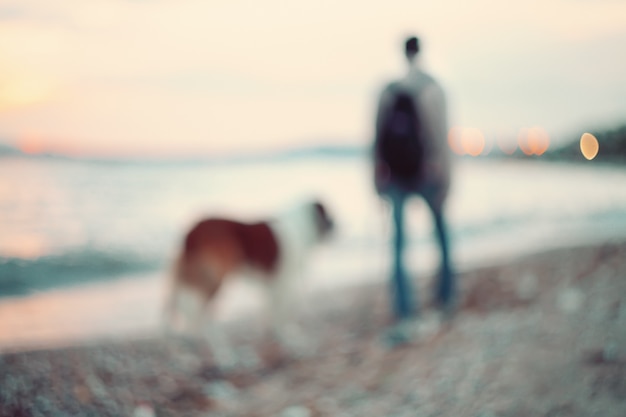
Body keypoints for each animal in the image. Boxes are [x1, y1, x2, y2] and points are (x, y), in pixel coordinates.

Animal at [165, 198, 332, 364]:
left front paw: (276, 336)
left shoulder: (271, 285)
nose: (334, 226)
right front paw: (292, 340)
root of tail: (191, 233)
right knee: (205, 317)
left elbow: (271, 312)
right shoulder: (283, 282)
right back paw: (225, 355)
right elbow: (281, 314)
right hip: (213, 279)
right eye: (328, 216)